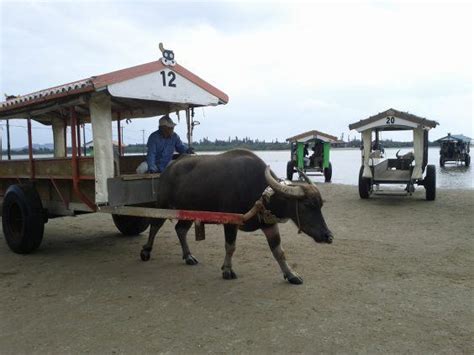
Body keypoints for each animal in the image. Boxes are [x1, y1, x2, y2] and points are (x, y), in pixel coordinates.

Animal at [141, 149, 334, 286]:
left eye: (320, 205)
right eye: (307, 205)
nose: (328, 236)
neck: (258, 191)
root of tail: (168, 169)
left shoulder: (269, 224)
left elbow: (279, 251)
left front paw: (291, 274)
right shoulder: (230, 222)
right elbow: (230, 247)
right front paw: (227, 270)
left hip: (187, 212)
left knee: (180, 229)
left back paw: (188, 256)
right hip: (162, 205)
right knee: (155, 225)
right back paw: (146, 251)